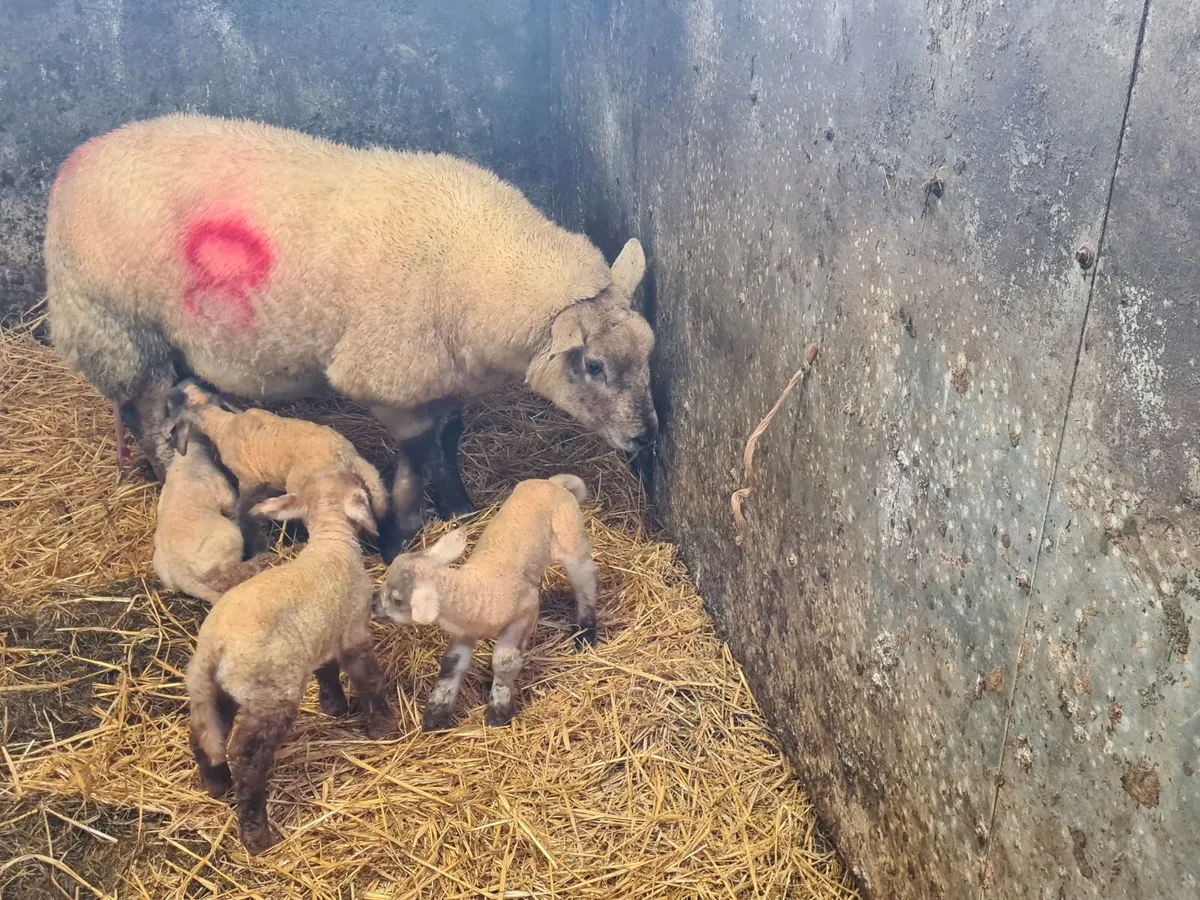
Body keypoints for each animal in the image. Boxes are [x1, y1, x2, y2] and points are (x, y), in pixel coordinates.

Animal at [45, 114, 657, 561]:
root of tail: (80, 158)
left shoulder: (438, 370)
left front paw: (458, 505)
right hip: (117, 324)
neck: (475, 265)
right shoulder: (387, 377)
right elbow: (415, 457)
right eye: (595, 366)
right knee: (150, 419)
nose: (646, 436)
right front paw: (400, 534)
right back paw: (169, 478)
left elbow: (449, 436)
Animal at [152, 427, 270, 603]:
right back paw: (259, 563)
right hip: (228, 541)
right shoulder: (225, 494)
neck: (189, 455)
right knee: (225, 578)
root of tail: (182, 577)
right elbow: (234, 509)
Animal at [187, 468, 397, 855]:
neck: (331, 540)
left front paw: (334, 707)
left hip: (217, 691)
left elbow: (327, 672)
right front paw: (384, 728)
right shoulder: (353, 631)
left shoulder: (321, 637)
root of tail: (212, 647)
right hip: (271, 694)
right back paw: (256, 835)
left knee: (202, 735)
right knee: (246, 757)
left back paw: (216, 785)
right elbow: (368, 679)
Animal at [373, 473, 598, 731]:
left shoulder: (525, 611)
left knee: (585, 582)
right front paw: (435, 716)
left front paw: (498, 714)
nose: (373, 604)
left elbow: (504, 662)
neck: (478, 588)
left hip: (571, 538)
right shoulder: (464, 631)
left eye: (398, 600)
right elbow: (451, 664)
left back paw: (586, 632)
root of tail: (552, 482)